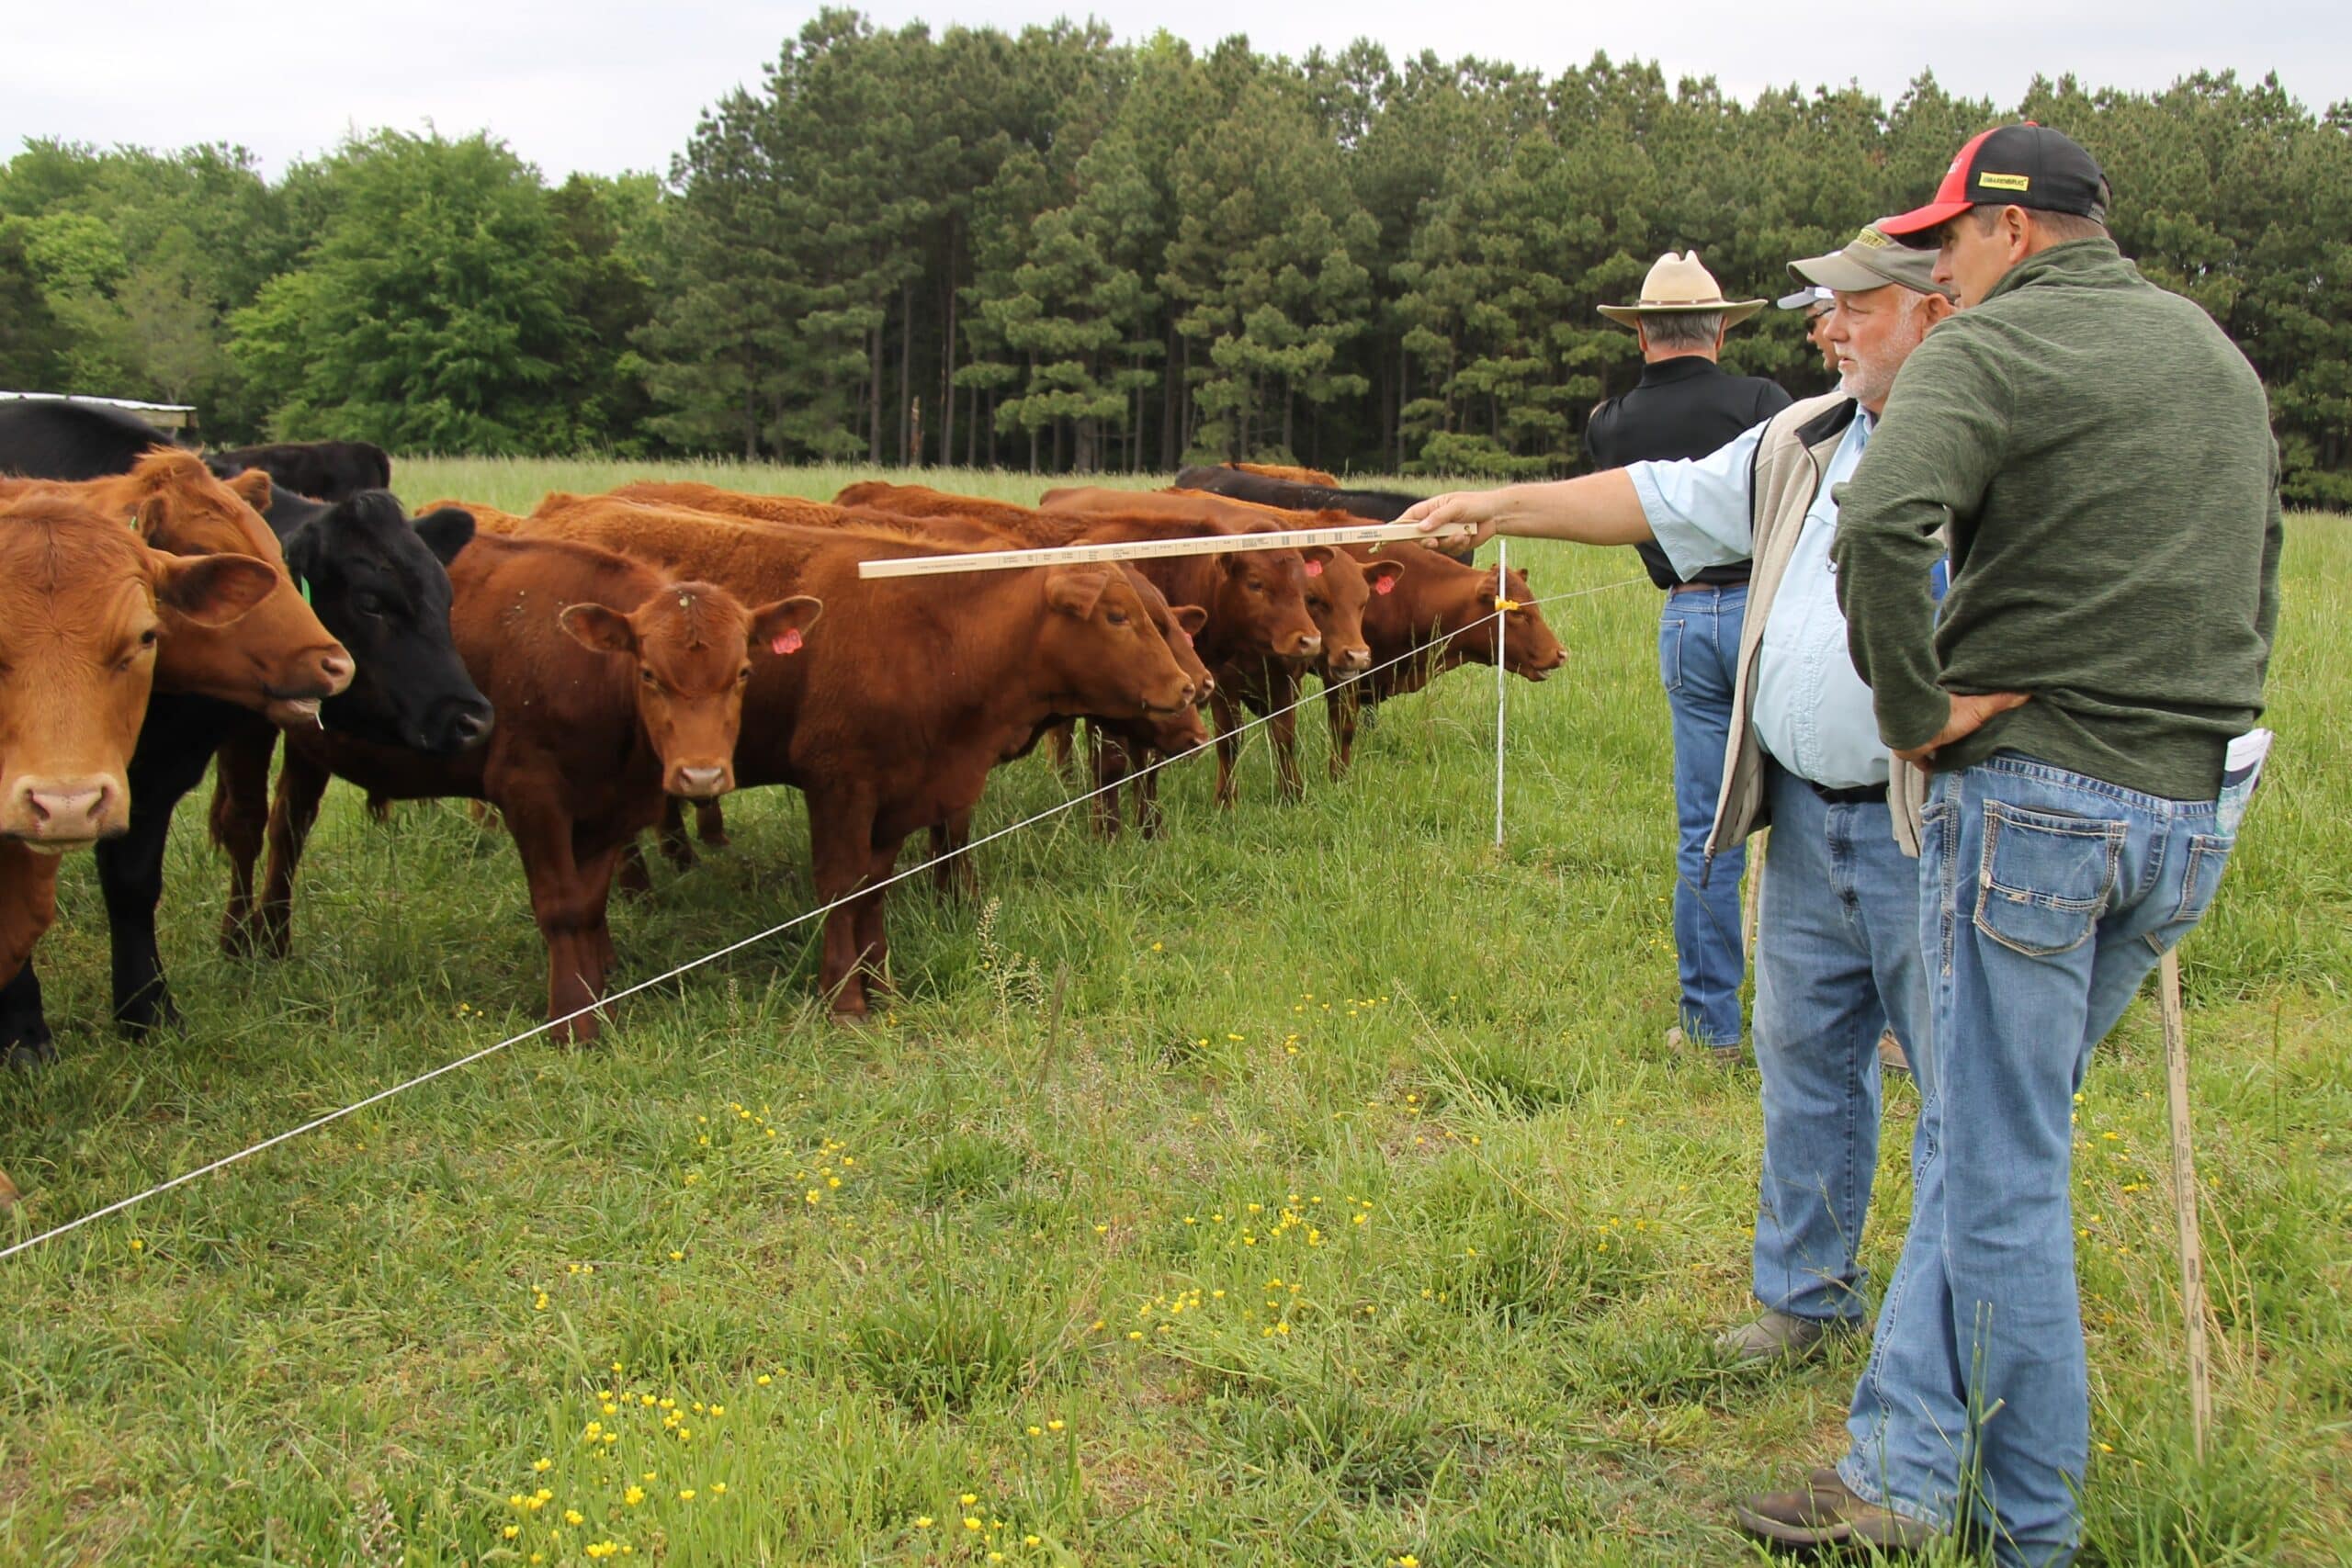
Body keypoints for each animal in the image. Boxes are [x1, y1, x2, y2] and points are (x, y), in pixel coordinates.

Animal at [0, 493, 277, 1063]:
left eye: (147, 636)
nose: (67, 804)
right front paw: (23, 1035)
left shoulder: (149, 786)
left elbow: (132, 886)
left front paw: (148, 1011)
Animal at [223, 531, 818, 1042]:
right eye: (648, 673)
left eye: (743, 672)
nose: (701, 774)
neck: (590, 675)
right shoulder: (531, 794)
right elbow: (560, 907)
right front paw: (572, 1020)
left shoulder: (611, 807)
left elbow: (589, 905)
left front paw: (597, 995)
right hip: (246, 731)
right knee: (250, 828)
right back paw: (240, 941)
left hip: (307, 745)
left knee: (290, 826)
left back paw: (273, 938)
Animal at [486, 500, 1196, 1018]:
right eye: (1116, 615)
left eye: (1161, 619)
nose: (1189, 689)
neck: (934, 632)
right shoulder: (839, 785)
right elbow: (839, 887)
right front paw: (845, 998)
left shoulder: (902, 790)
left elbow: (873, 890)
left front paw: (882, 986)